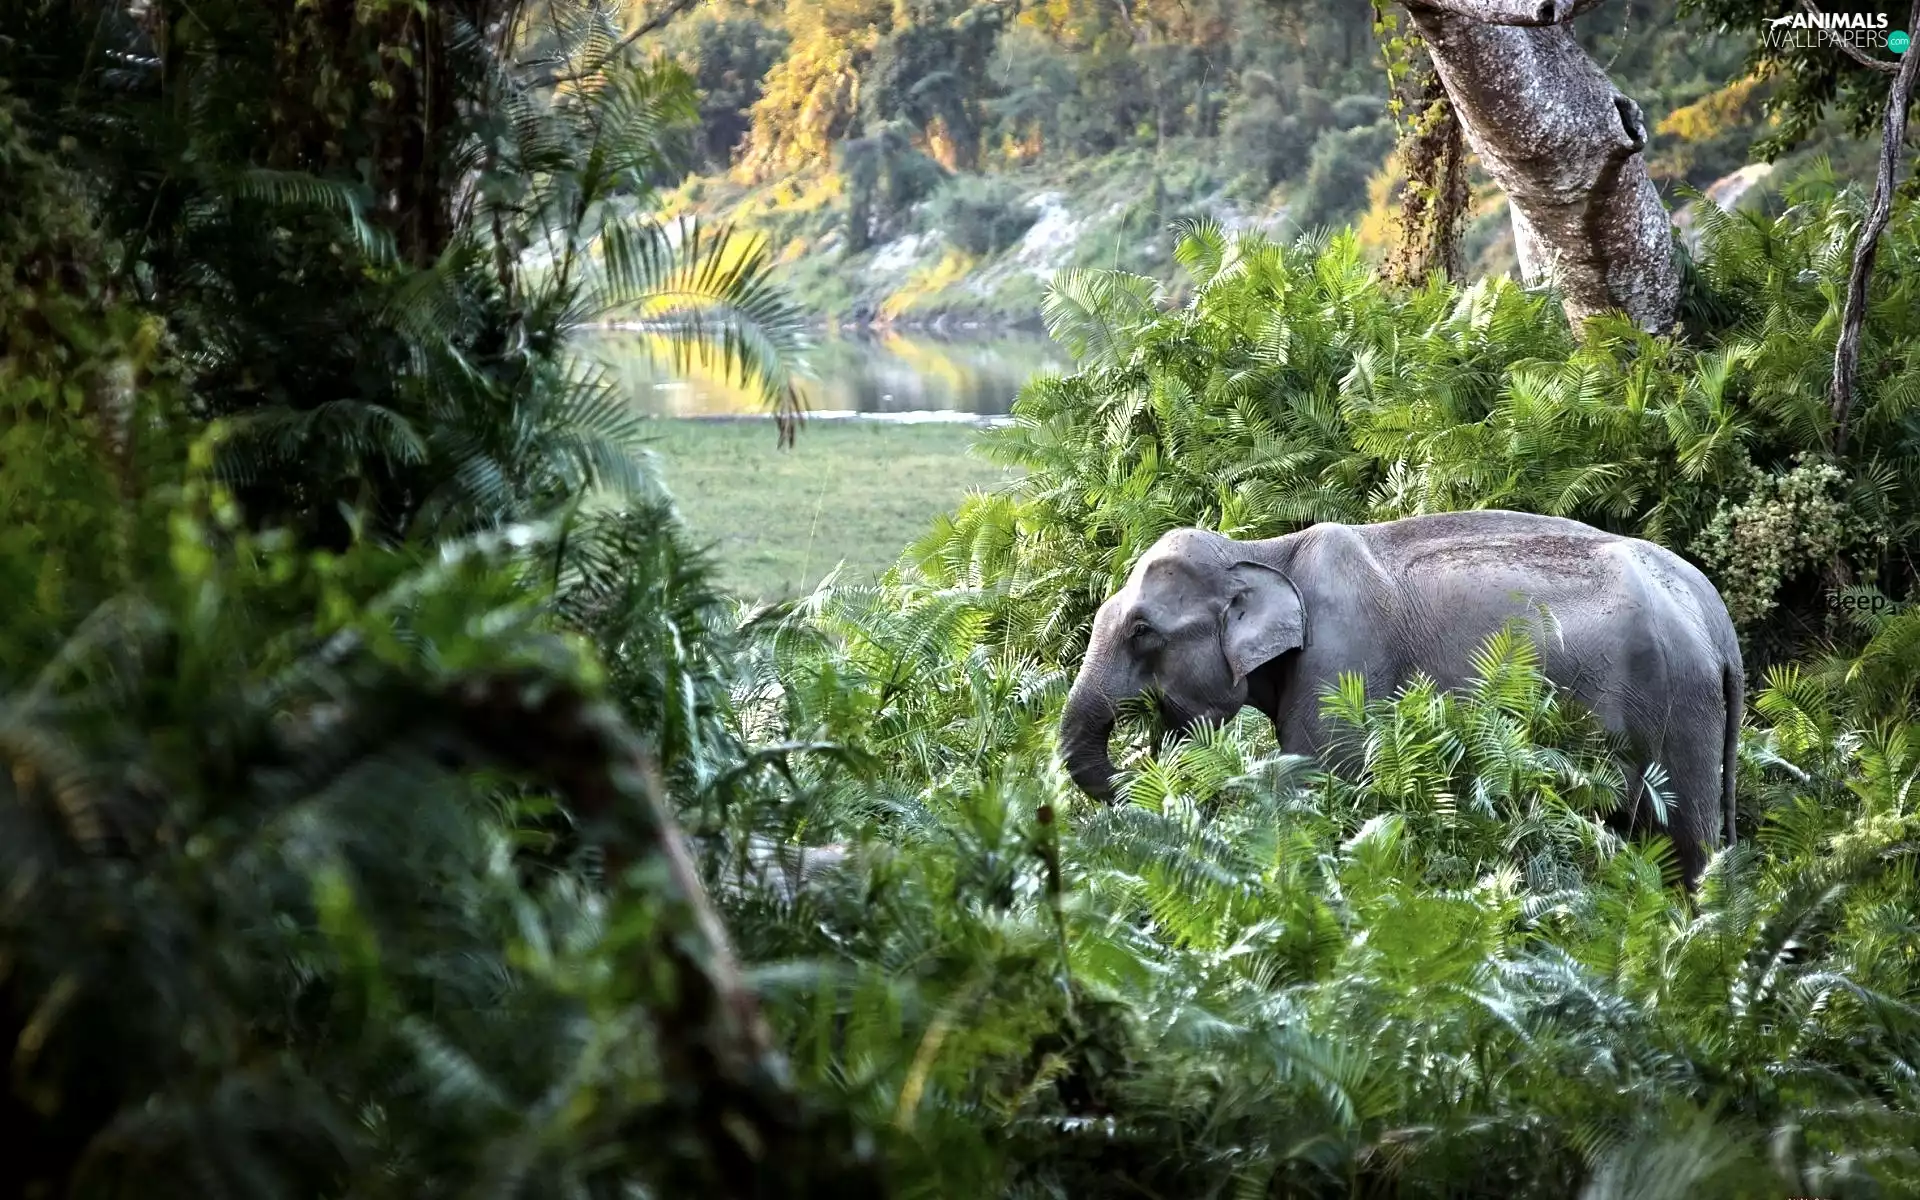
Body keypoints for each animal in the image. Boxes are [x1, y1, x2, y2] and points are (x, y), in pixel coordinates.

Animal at [1057, 510, 1745, 889]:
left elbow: (1317, 789)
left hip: (1680, 712)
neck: (1263, 550)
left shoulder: (1343, 663)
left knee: (1683, 847)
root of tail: (1717, 621)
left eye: (1141, 631)